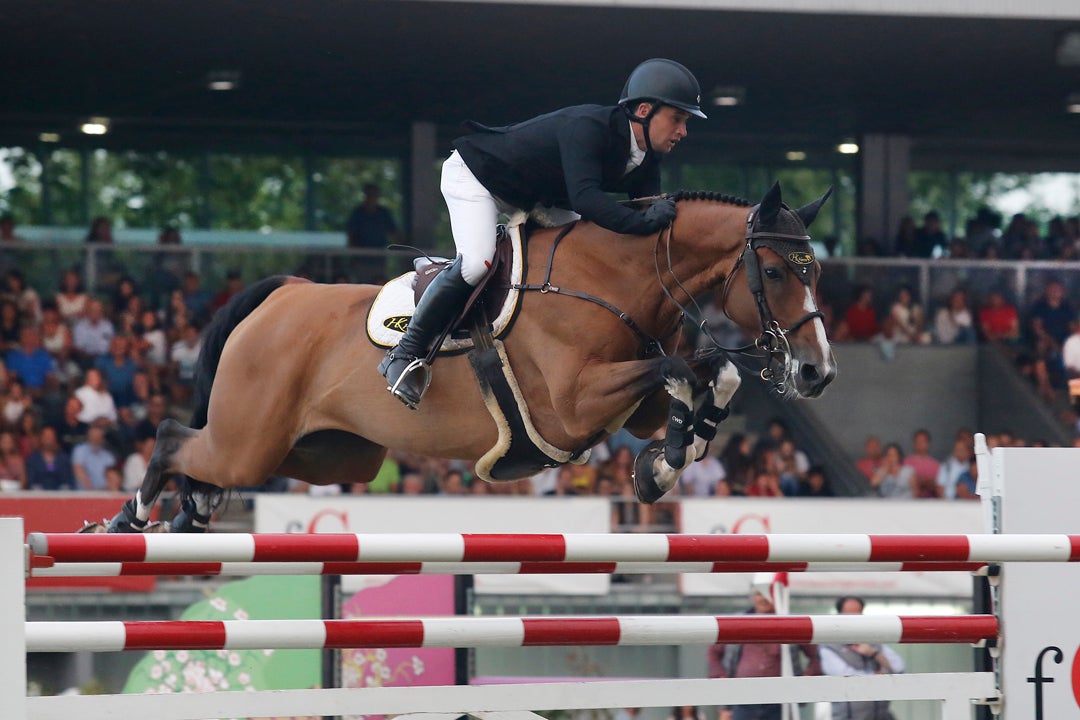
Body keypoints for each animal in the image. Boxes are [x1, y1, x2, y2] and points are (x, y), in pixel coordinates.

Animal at [99, 183, 833, 533]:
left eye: (816, 271)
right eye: (773, 272)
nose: (816, 372)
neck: (610, 278)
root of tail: (283, 293)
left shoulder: (629, 405)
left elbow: (714, 373)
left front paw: (667, 459)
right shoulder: (571, 407)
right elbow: (683, 370)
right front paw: (663, 467)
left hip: (331, 453)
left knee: (207, 461)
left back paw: (190, 513)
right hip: (250, 441)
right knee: (171, 436)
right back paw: (129, 518)